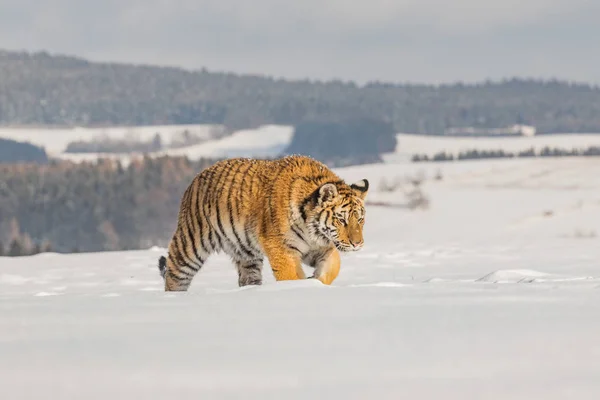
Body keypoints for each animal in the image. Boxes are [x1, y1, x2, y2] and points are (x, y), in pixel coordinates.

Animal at [157, 153, 368, 290]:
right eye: (341, 219)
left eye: (360, 219)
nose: (357, 244)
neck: (313, 230)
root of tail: (195, 180)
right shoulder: (282, 248)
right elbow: (291, 276)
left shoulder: (321, 247)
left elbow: (333, 268)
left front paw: (316, 281)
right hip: (191, 245)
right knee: (174, 274)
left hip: (246, 254)